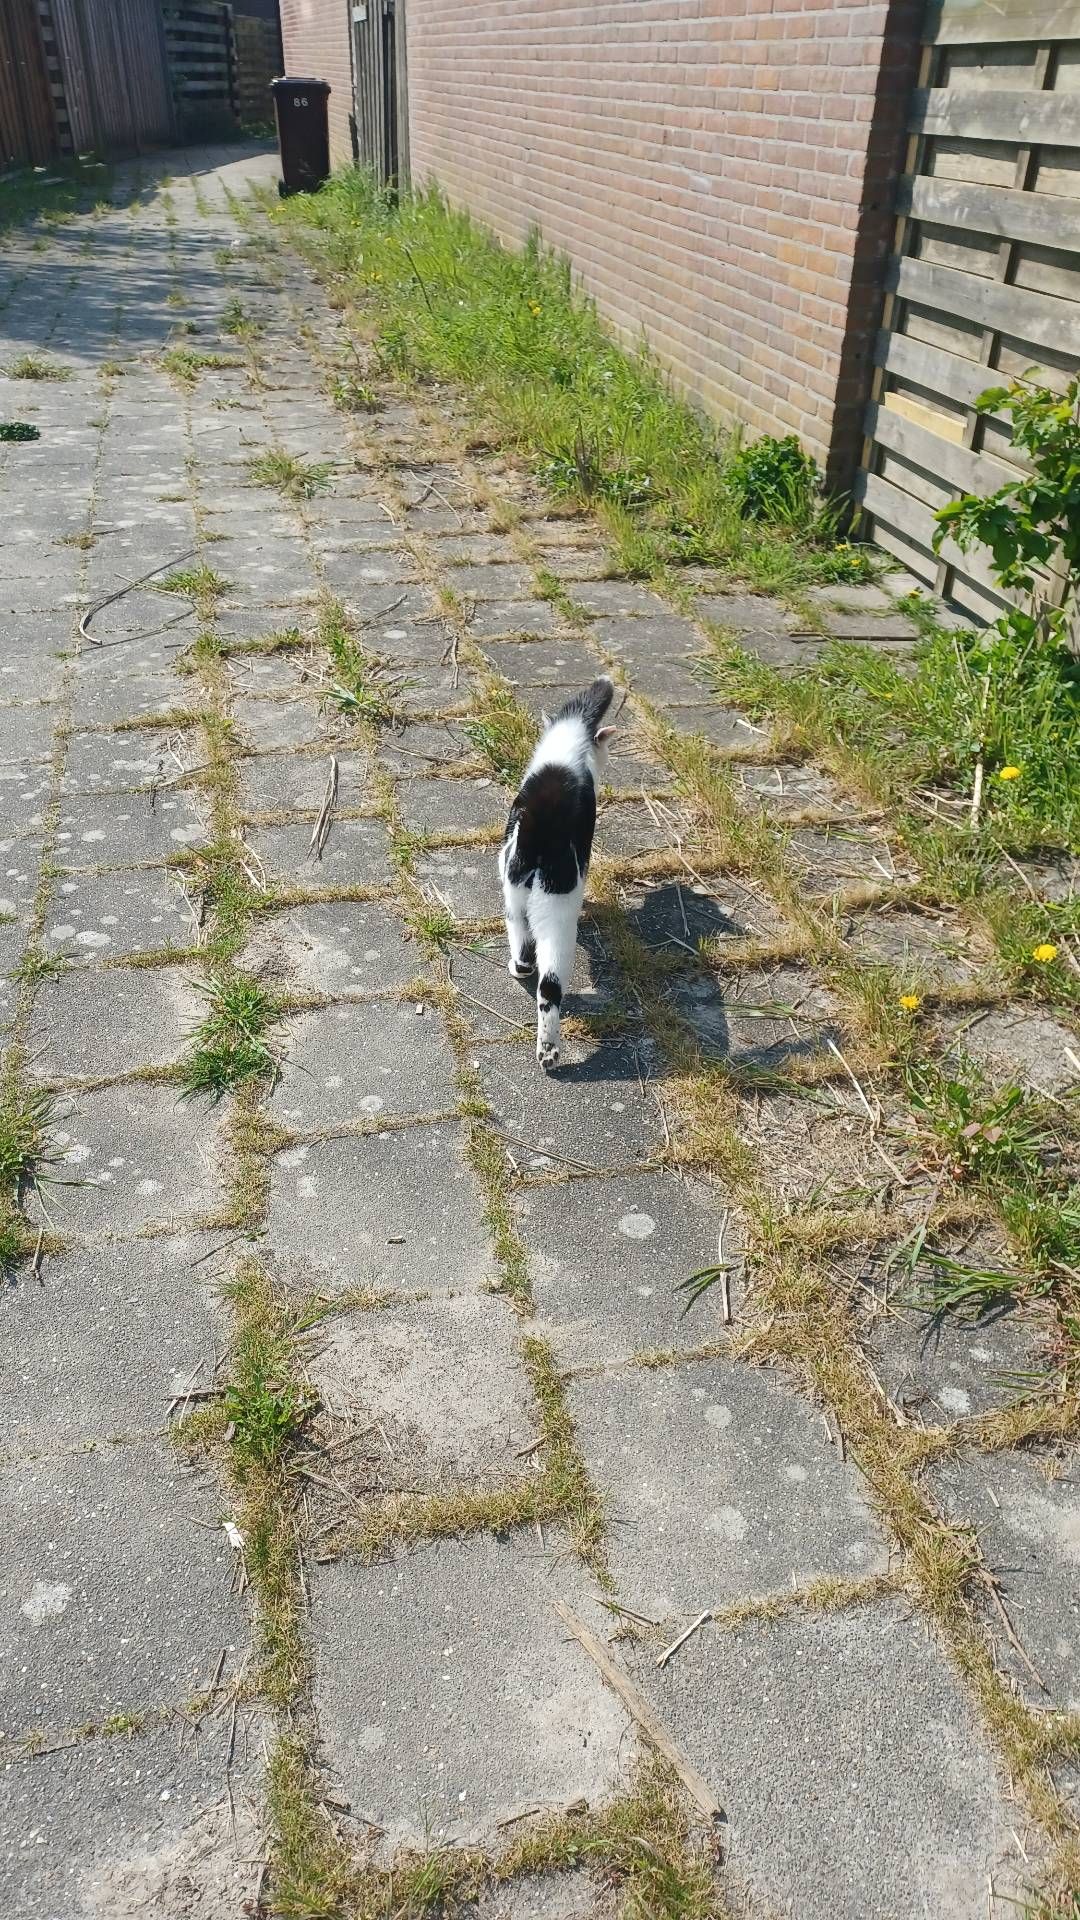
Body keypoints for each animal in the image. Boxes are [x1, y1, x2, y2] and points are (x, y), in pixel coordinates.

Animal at [498, 676, 616, 1070]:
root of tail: (542, 827)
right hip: (559, 915)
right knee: (550, 986)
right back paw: (550, 1053)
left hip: (514, 897)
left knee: (524, 954)